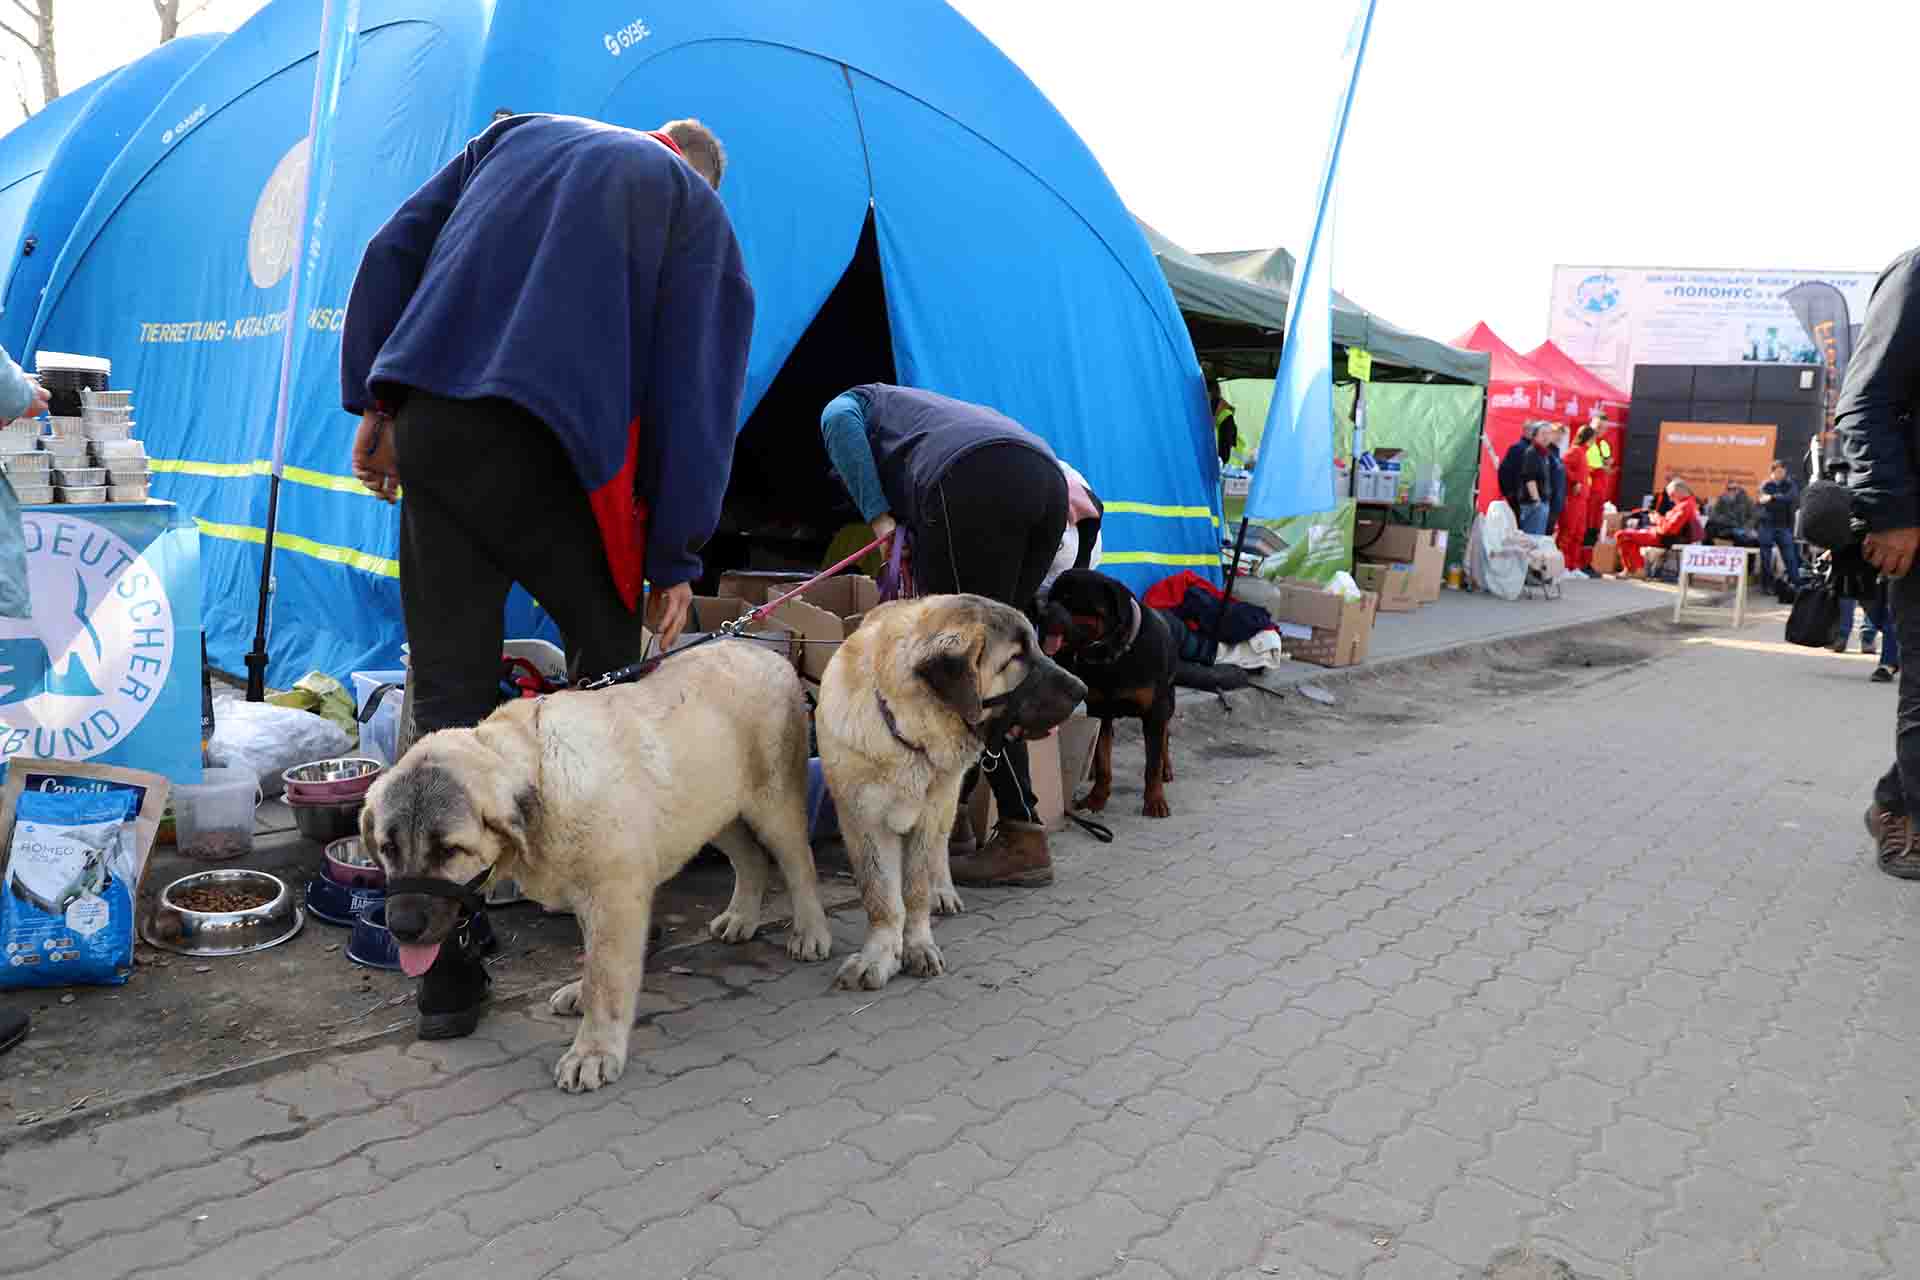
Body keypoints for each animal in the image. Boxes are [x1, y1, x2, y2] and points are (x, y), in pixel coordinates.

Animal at [360, 640, 833, 1090]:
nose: (401, 927)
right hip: (713, 809)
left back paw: (811, 932)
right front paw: (581, 996)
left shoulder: (614, 898)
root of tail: (767, 652)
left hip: (774, 804)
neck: (541, 777)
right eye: (387, 848)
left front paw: (594, 1051)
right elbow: (592, 961)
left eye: (449, 850)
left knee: (799, 865)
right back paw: (741, 917)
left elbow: (606, 974)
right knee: (751, 859)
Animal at [810, 594, 1082, 997]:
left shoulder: (928, 814)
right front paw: (880, 955)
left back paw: (943, 891)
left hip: (945, 801)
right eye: (1016, 657)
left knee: (941, 848)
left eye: (1035, 645)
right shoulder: (863, 822)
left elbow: (915, 889)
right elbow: (881, 895)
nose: (1083, 690)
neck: (906, 731)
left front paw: (917, 945)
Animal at [1044, 571, 1175, 821]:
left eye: (1069, 598)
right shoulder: (1100, 711)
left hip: (1168, 702)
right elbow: (1103, 758)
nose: (1041, 610)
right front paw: (1096, 798)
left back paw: (1167, 767)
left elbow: (1152, 763)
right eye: (1051, 596)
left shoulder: (1154, 712)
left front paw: (1154, 800)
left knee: (1165, 734)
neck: (1113, 655)